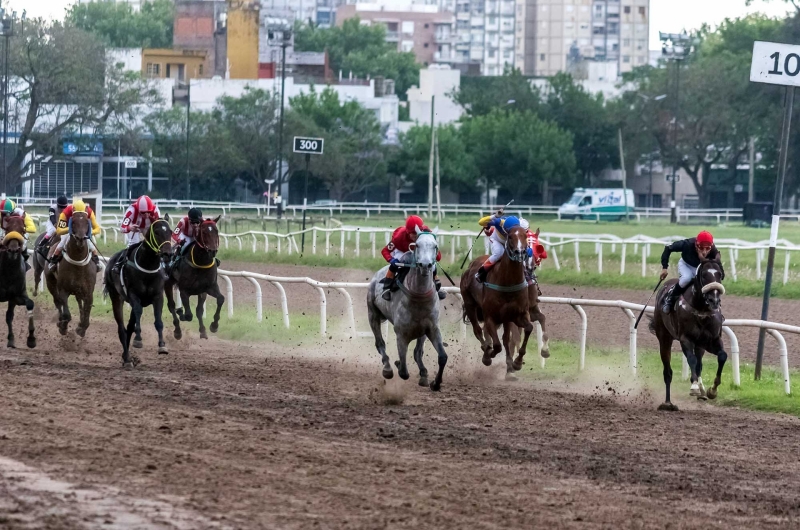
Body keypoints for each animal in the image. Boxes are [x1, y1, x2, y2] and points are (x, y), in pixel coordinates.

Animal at [0, 212, 36, 348]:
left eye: (22, 229)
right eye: (7, 229)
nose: (13, 250)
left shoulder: (16, 296)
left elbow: (30, 304)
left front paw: (31, 339)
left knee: (9, 316)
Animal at [103, 217, 173, 366]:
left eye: (170, 232)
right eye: (157, 232)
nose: (167, 254)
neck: (148, 266)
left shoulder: (158, 296)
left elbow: (158, 320)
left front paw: (162, 346)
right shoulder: (134, 295)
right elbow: (138, 313)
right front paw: (138, 340)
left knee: (129, 327)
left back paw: (126, 357)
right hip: (116, 297)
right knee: (122, 328)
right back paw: (128, 359)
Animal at [366, 229, 446, 390]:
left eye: (435, 246)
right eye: (417, 245)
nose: (426, 265)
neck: (419, 298)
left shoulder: (432, 328)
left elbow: (441, 357)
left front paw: (435, 383)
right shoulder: (401, 334)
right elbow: (403, 370)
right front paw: (396, 364)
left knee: (417, 352)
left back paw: (423, 374)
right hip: (373, 315)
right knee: (380, 343)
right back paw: (387, 368)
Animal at [460, 225, 536, 378]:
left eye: (525, 236)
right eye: (510, 236)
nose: (520, 252)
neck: (508, 282)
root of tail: (471, 265)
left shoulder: (518, 315)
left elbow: (527, 329)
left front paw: (517, 362)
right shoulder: (490, 316)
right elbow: (496, 345)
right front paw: (488, 355)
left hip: (505, 318)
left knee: (505, 339)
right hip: (470, 304)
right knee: (478, 330)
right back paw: (486, 351)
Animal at [648, 258, 728, 410]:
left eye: (719, 275)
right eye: (704, 275)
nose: (714, 300)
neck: (701, 309)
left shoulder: (712, 340)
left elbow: (722, 356)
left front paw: (712, 390)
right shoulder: (686, 339)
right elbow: (691, 359)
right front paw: (694, 387)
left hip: (700, 345)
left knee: (699, 364)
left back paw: (702, 392)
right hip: (664, 337)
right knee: (668, 371)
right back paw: (668, 403)